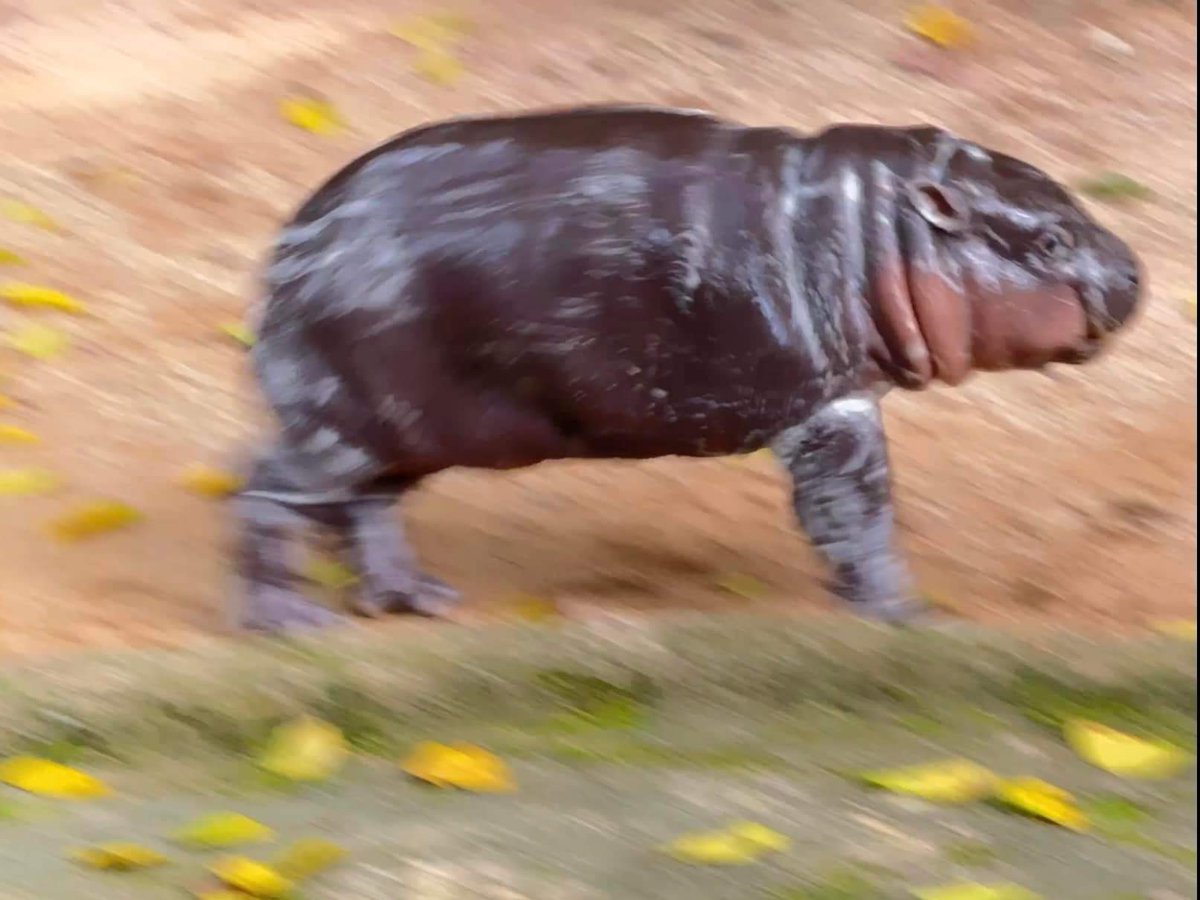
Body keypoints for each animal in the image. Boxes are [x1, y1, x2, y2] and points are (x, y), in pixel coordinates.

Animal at [232, 104, 1143, 633]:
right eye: (1049, 240)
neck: (878, 228)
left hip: (403, 429)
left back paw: (414, 600)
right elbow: (857, 510)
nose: (1135, 271)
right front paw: (908, 615)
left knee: (367, 507)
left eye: (1068, 203)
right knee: (264, 485)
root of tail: (293, 240)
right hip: (344, 422)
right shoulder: (831, 409)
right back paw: (291, 623)